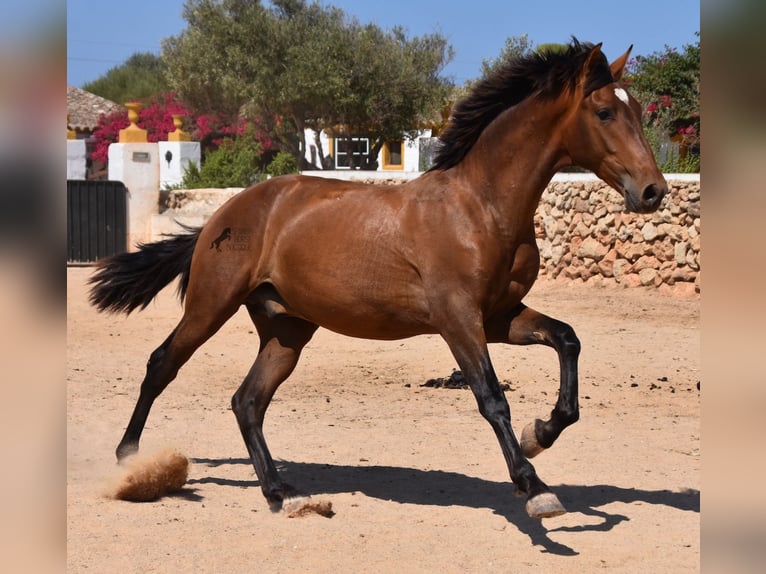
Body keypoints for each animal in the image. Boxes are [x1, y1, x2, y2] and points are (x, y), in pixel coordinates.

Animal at [88, 38, 664, 520]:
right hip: (212, 304)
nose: (653, 191)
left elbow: (567, 339)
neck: (481, 208)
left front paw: (540, 432)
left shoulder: (499, 317)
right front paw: (534, 485)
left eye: (638, 110)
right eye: (605, 111)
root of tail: (226, 212)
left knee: (247, 401)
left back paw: (282, 493)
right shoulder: (458, 320)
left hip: (287, 329)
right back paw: (129, 463)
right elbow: (491, 396)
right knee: (162, 365)